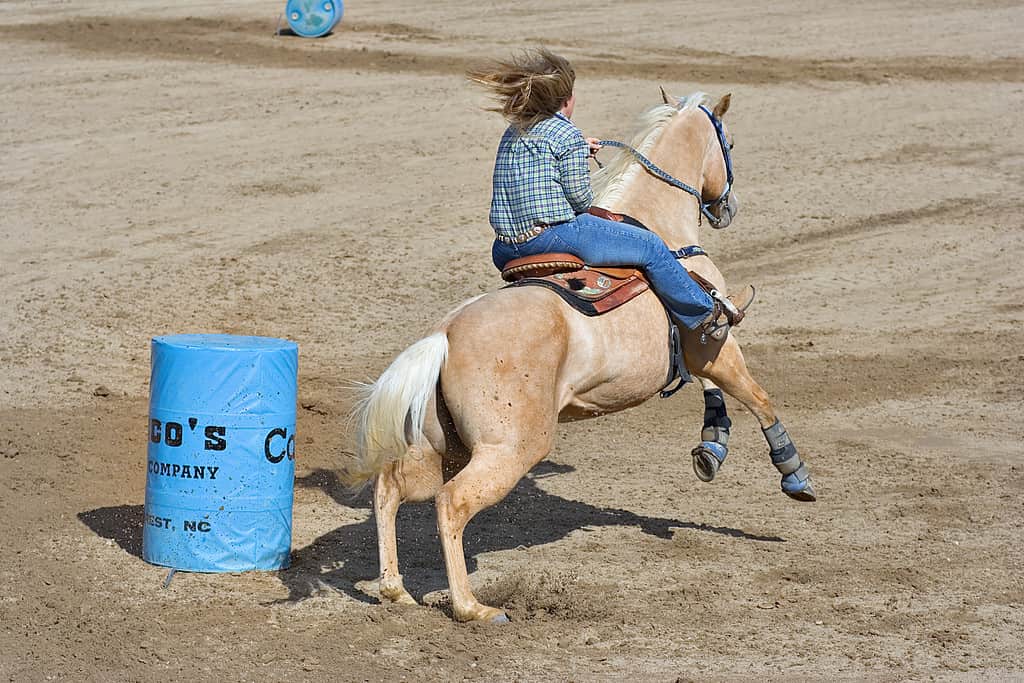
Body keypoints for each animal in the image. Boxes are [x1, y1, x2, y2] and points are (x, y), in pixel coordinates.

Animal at [344, 90, 815, 626]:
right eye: (728, 142)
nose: (727, 208)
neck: (660, 227)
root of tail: (445, 333)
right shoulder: (714, 340)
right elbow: (758, 398)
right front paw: (794, 474)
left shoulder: (697, 351)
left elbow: (715, 392)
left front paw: (711, 446)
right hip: (508, 450)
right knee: (451, 504)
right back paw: (473, 608)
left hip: (439, 448)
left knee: (389, 490)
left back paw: (394, 589)